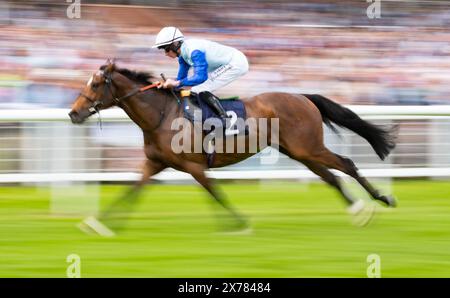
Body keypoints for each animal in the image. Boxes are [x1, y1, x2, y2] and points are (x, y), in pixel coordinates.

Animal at [68, 61, 396, 230]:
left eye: (95, 84)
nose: (73, 113)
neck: (161, 115)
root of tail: (303, 97)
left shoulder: (193, 165)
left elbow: (216, 193)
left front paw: (240, 222)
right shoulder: (155, 163)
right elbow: (132, 190)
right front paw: (100, 223)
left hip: (308, 148)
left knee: (346, 164)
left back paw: (381, 199)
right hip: (300, 152)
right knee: (330, 177)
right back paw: (359, 210)